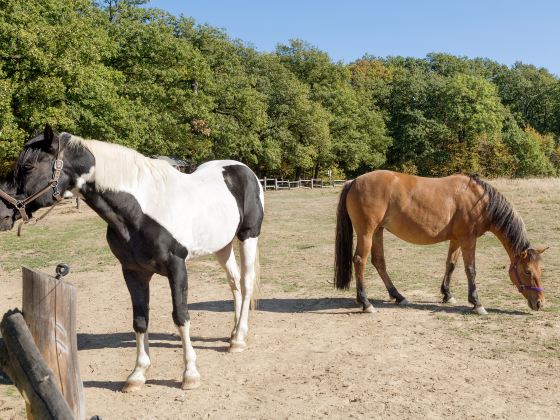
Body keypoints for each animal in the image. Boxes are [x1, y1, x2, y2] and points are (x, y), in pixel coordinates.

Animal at [10, 124, 264, 390]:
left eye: (28, 167)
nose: (5, 211)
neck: (141, 210)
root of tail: (243, 169)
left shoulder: (177, 267)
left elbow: (181, 316)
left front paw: (190, 374)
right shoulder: (133, 271)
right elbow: (140, 319)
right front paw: (137, 374)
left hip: (248, 236)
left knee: (246, 283)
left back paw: (238, 340)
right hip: (222, 245)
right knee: (234, 283)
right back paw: (234, 334)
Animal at [334, 169, 544, 314]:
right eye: (527, 271)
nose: (540, 303)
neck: (479, 200)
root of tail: (354, 181)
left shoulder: (457, 240)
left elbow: (450, 265)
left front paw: (447, 295)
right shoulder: (468, 240)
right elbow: (471, 270)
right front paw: (477, 303)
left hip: (378, 232)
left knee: (379, 262)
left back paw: (397, 296)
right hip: (367, 233)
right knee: (360, 261)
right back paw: (366, 303)